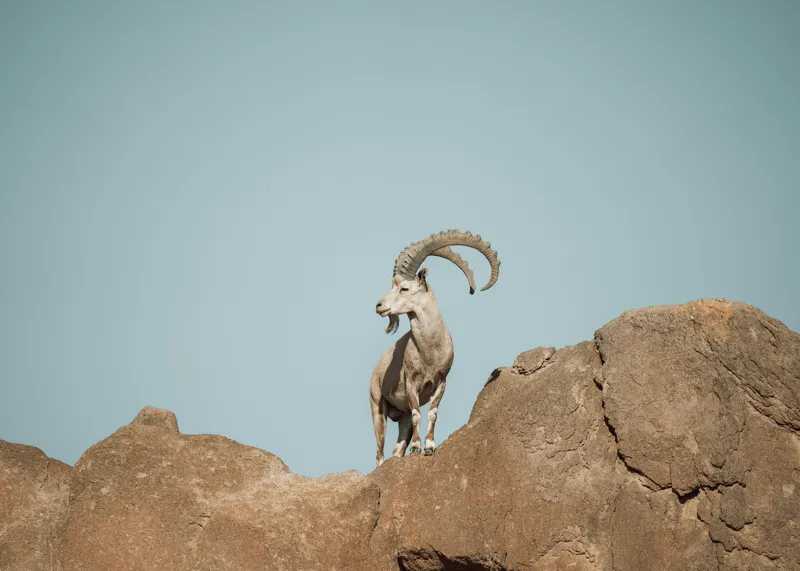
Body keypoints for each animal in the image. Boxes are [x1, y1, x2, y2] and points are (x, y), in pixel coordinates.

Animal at [370, 230, 500, 466]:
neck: (429, 350)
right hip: (377, 407)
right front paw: (416, 448)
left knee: (397, 446)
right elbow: (417, 414)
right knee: (379, 451)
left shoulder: (440, 382)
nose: (379, 306)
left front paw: (429, 447)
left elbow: (432, 413)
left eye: (404, 288)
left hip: (400, 416)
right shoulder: (411, 383)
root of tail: (376, 368)